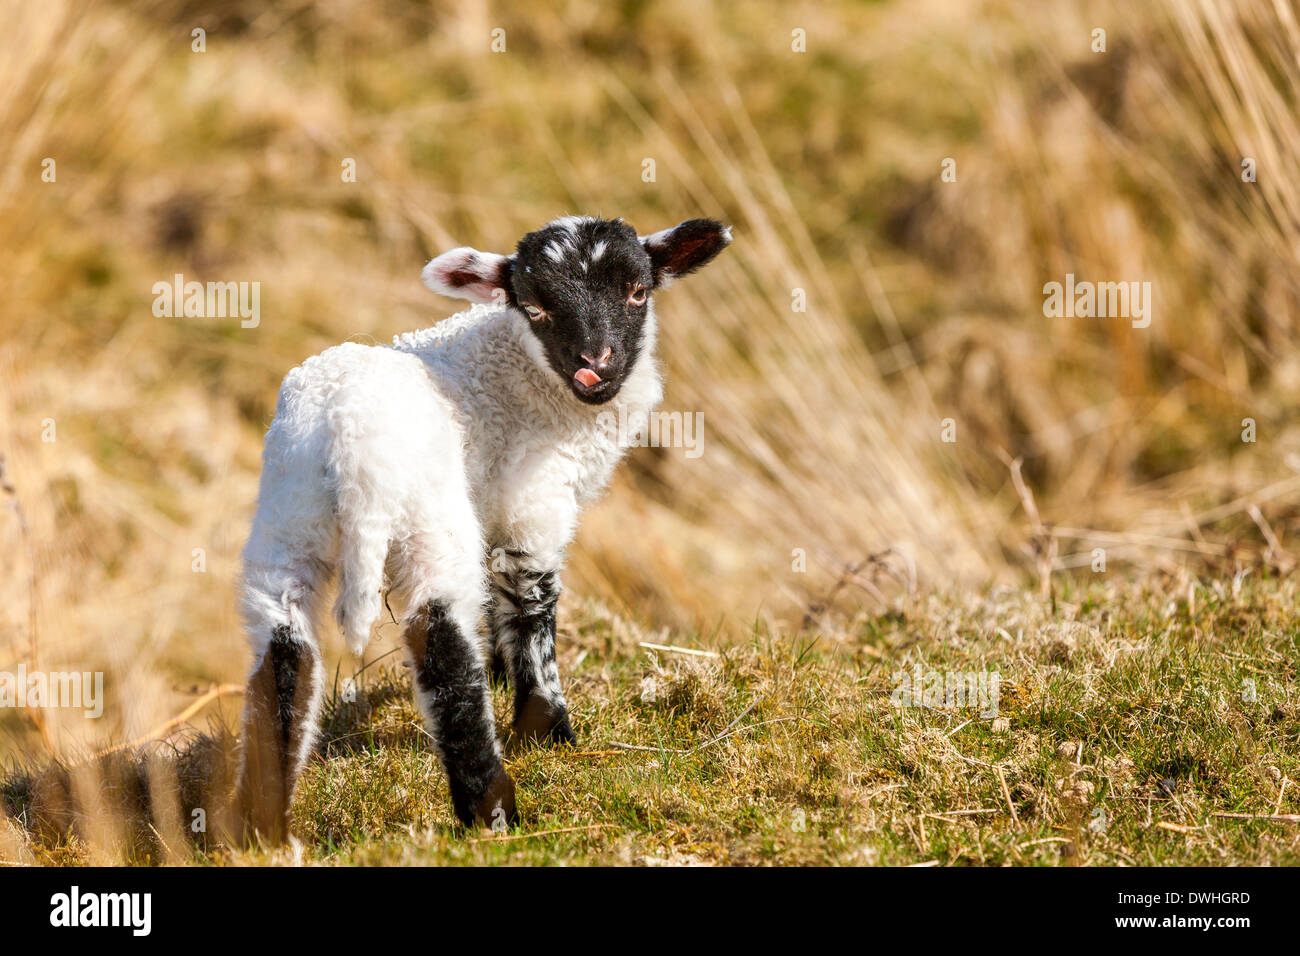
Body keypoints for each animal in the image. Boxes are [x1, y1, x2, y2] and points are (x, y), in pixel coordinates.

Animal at [233, 210, 733, 837]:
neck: (522, 370)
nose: (595, 368)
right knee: (442, 647)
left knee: (284, 652)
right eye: (534, 307)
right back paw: (492, 810)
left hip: (287, 520)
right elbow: (531, 607)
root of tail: (349, 436)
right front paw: (547, 731)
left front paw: (505, 678)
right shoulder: (533, 503)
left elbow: (501, 602)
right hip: (430, 522)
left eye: (638, 291)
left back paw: (259, 825)